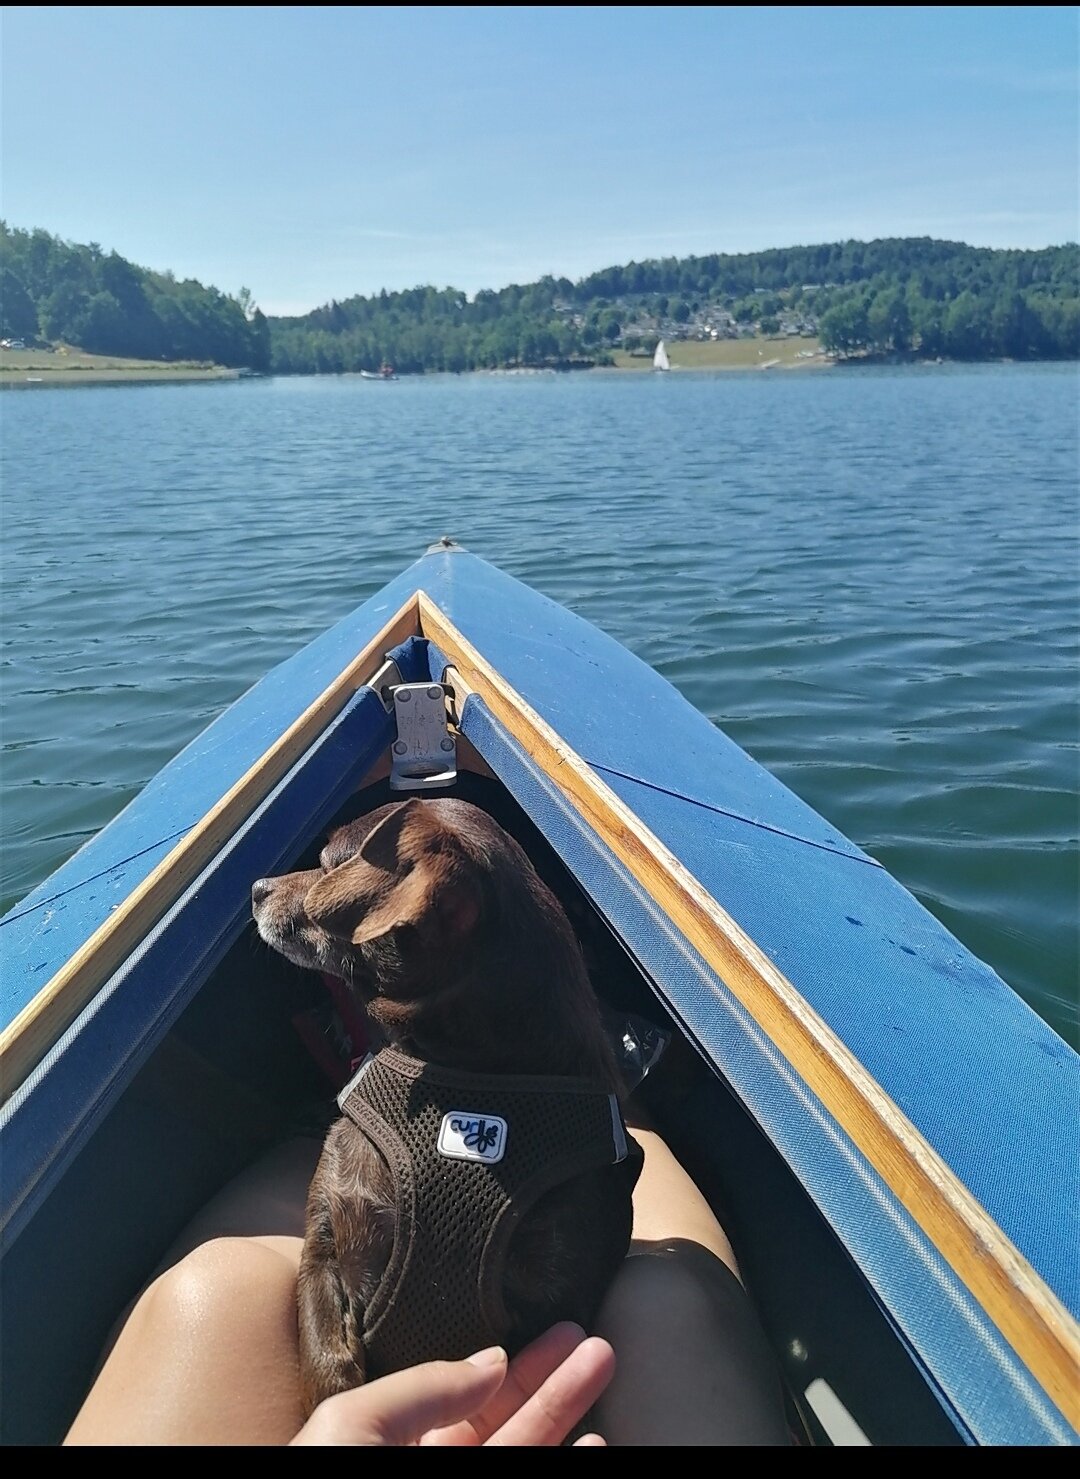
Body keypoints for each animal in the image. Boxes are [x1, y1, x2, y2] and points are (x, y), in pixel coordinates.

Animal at [252, 798, 639, 1408]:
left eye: (328, 863)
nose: (256, 888)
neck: (473, 1073)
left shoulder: (560, 1307)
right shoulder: (321, 1251)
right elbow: (329, 1374)